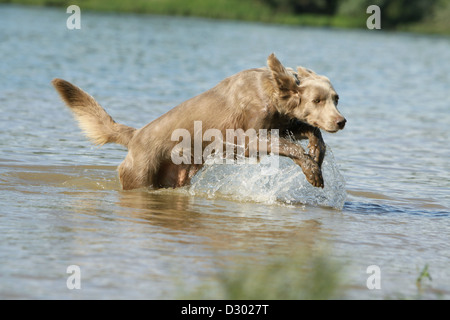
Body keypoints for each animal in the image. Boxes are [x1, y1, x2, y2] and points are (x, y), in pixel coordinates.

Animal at [53, 53, 348, 190]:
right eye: (317, 100)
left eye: (336, 98)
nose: (341, 121)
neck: (273, 91)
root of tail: (135, 136)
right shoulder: (249, 138)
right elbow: (290, 146)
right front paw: (312, 171)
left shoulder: (281, 124)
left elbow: (312, 133)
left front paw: (317, 155)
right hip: (140, 178)